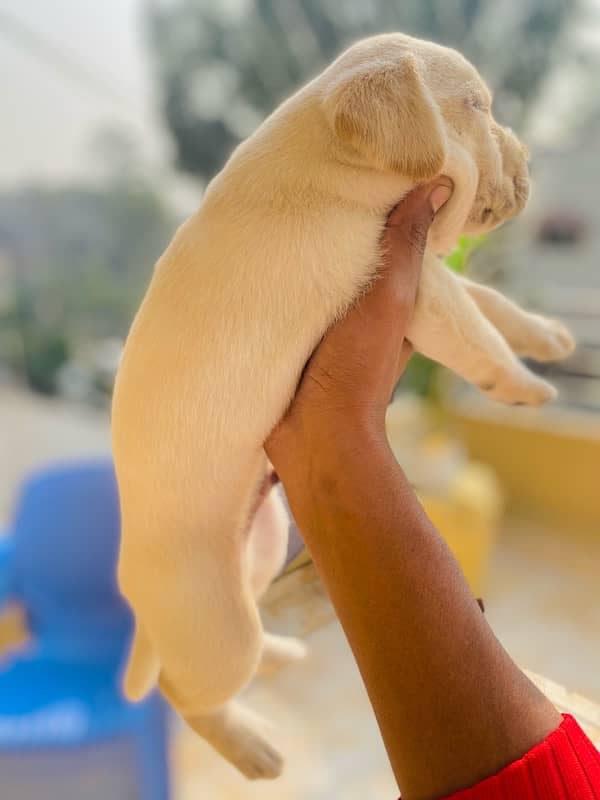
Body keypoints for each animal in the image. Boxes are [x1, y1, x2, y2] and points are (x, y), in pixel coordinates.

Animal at [110, 34, 576, 780]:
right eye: (477, 108)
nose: (528, 155)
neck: (331, 154)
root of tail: (136, 600)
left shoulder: (425, 270)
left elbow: (489, 301)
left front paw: (549, 337)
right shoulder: (410, 285)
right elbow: (475, 328)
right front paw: (524, 387)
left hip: (264, 544)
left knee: (234, 644)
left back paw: (283, 654)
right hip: (213, 626)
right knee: (185, 692)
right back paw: (256, 749)